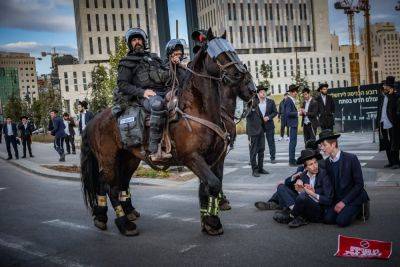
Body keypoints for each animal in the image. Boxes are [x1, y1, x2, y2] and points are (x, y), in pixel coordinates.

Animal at [81, 29, 255, 238]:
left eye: (232, 50)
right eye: (218, 54)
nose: (241, 75)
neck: (200, 110)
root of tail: (94, 120)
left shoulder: (216, 158)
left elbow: (209, 187)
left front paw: (209, 222)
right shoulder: (192, 157)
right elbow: (212, 184)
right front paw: (213, 220)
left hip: (129, 158)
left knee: (113, 183)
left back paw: (104, 216)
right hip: (108, 160)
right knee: (111, 188)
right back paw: (124, 224)